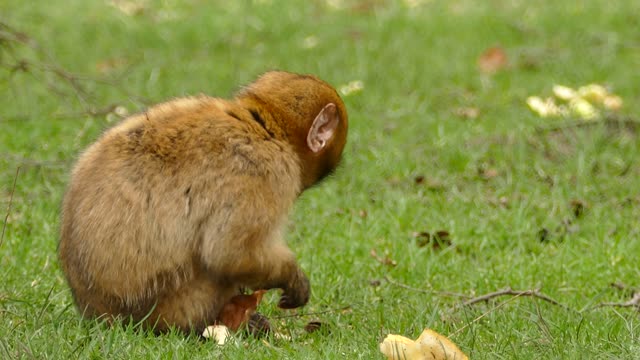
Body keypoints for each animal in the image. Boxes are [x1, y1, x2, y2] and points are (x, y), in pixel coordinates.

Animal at [58, 71, 350, 334]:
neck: (263, 127)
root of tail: (98, 314)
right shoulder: (265, 171)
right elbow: (229, 253)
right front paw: (292, 277)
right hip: (174, 306)